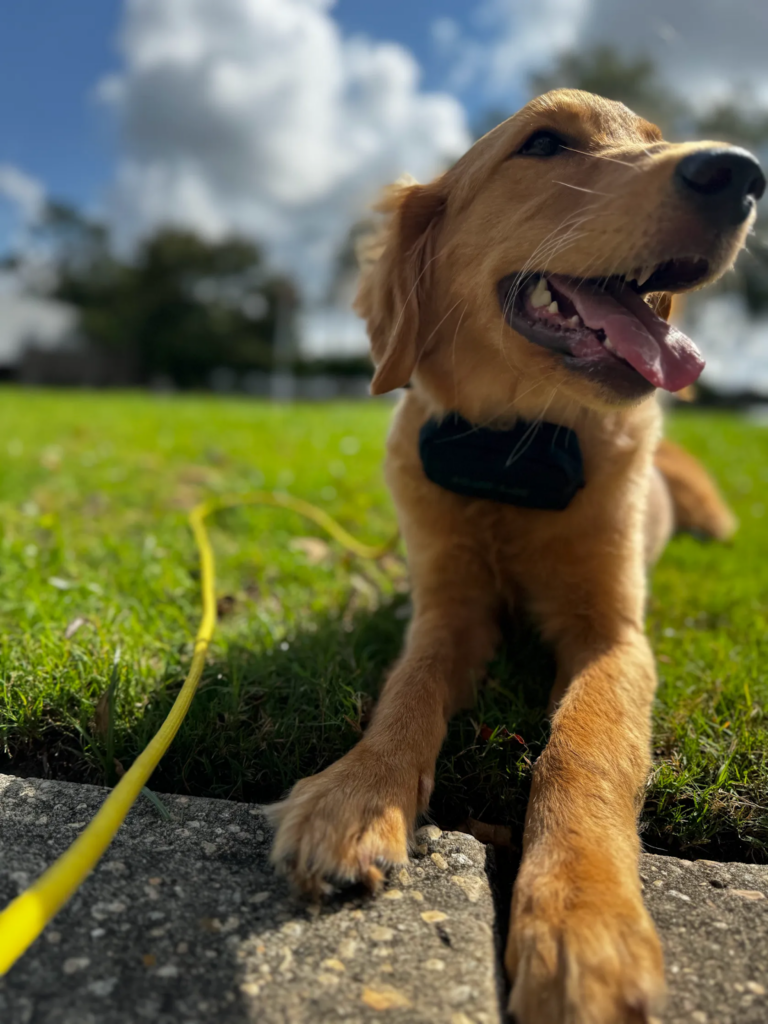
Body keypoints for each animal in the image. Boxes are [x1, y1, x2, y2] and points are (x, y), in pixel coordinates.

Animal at [270, 90, 764, 1023]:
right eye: (543, 143)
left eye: (653, 139)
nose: (743, 172)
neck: (516, 453)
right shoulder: (445, 607)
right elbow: (406, 690)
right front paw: (356, 798)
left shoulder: (614, 632)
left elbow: (586, 745)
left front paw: (582, 920)